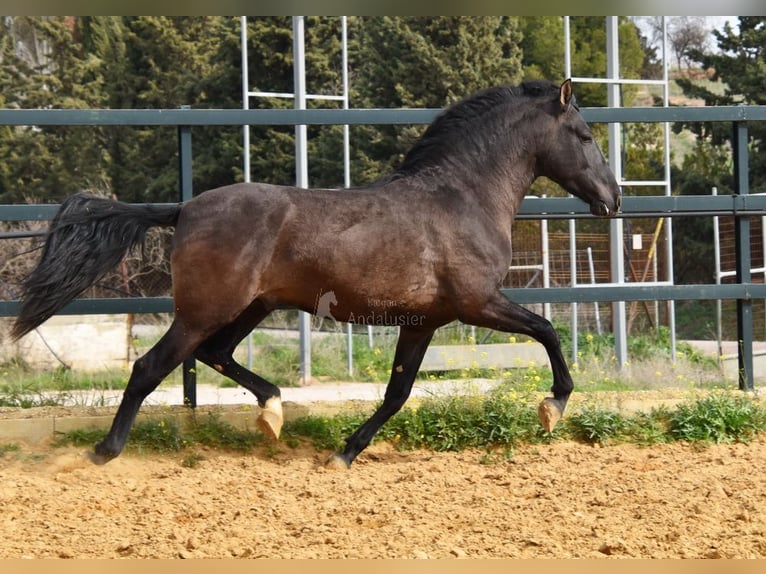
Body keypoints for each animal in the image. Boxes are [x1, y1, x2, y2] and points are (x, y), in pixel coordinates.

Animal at [12, 79, 624, 470]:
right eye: (586, 136)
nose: (614, 200)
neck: (461, 199)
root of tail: (184, 209)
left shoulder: (423, 321)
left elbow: (398, 392)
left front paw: (344, 452)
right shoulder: (478, 303)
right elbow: (546, 329)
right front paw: (553, 407)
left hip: (253, 306)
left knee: (216, 354)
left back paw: (272, 413)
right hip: (205, 310)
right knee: (150, 367)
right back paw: (103, 452)